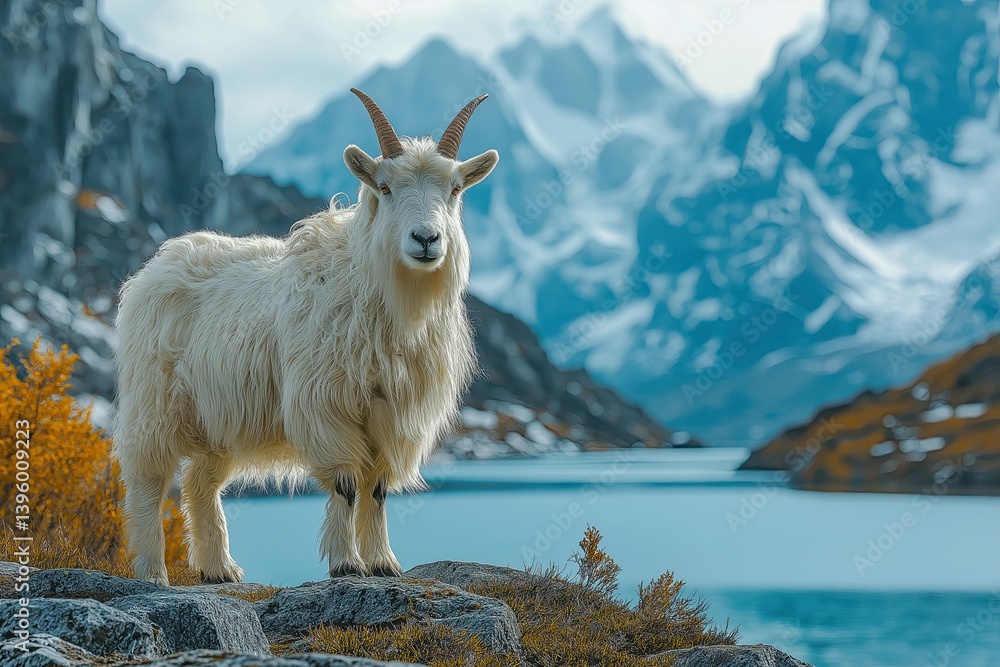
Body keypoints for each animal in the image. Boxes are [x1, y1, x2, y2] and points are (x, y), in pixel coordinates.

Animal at [113, 89, 498, 584]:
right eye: (385, 187)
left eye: (454, 189)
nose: (426, 239)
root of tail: (158, 265)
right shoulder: (327, 405)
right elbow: (347, 484)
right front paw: (347, 563)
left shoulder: (391, 416)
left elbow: (377, 490)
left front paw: (383, 563)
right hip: (155, 403)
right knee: (147, 481)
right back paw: (153, 573)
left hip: (218, 418)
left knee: (201, 483)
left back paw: (220, 569)